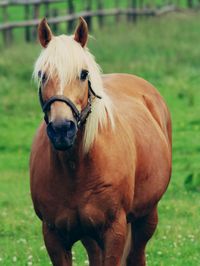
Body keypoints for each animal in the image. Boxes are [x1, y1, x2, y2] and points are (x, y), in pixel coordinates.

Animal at [29, 17, 172, 266]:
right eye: (42, 74)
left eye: (83, 73)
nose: (61, 129)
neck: (76, 167)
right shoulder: (53, 236)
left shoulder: (114, 231)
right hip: (90, 236)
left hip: (146, 217)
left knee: (137, 254)